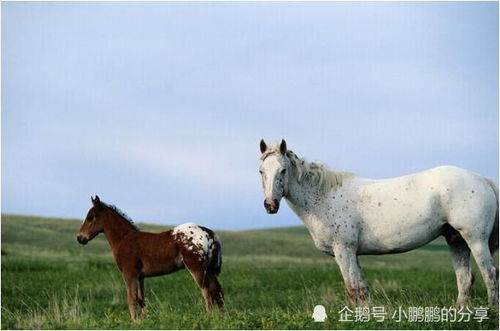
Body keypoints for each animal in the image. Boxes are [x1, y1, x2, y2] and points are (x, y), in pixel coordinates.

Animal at [77, 197, 224, 322]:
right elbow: (141, 300)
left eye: (90, 217)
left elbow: (131, 300)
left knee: (207, 293)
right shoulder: (140, 277)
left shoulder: (129, 274)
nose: (80, 238)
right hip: (209, 271)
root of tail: (211, 234)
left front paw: (134, 323)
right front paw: (142, 322)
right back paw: (221, 318)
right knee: (218, 292)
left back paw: (208, 318)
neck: (123, 239)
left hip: (197, 269)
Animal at [260, 139, 498, 308]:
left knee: (490, 274)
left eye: (283, 170)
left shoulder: (344, 251)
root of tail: (482, 179)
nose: (270, 205)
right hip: (456, 240)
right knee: (465, 279)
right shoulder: (353, 254)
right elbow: (361, 289)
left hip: (475, 240)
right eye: (261, 171)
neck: (325, 197)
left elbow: (352, 288)